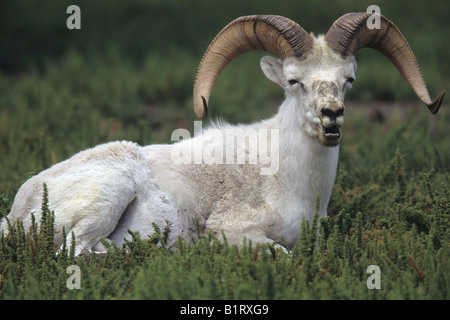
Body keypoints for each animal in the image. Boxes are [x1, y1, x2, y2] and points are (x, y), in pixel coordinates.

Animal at [0, 13, 442, 256]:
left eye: (348, 79)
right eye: (294, 81)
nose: (331, 116)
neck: (290, 182)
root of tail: (18, 213)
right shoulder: (236, 232)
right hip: (110, 192)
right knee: (75, 253)